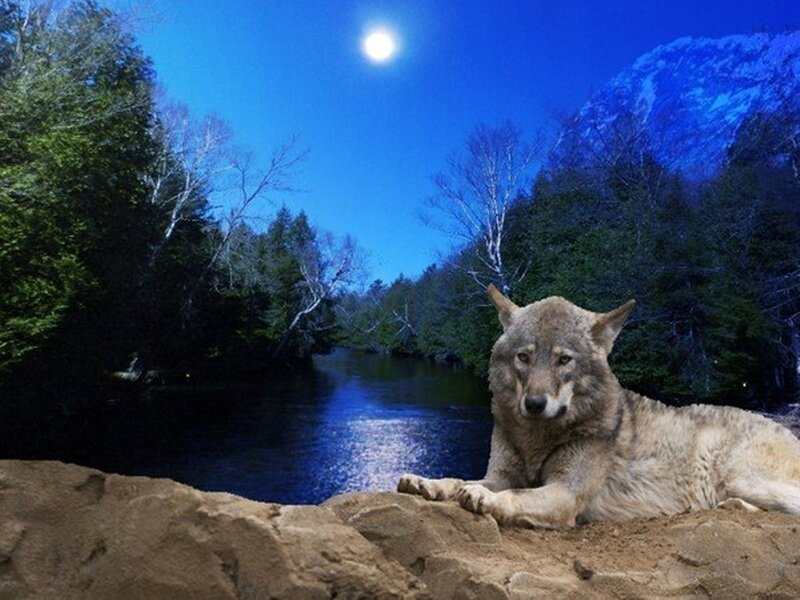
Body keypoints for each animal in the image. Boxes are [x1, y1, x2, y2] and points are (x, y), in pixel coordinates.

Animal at [398, 285, 800, 528]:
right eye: (524, 358)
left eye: (563, 360)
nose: (534, 404)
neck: (537, 439)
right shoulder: (502, 474)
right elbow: (459, 479)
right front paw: (427, 483)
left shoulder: (564, 494)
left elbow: (512, 495)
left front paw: (480, 497)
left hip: (742, 477)